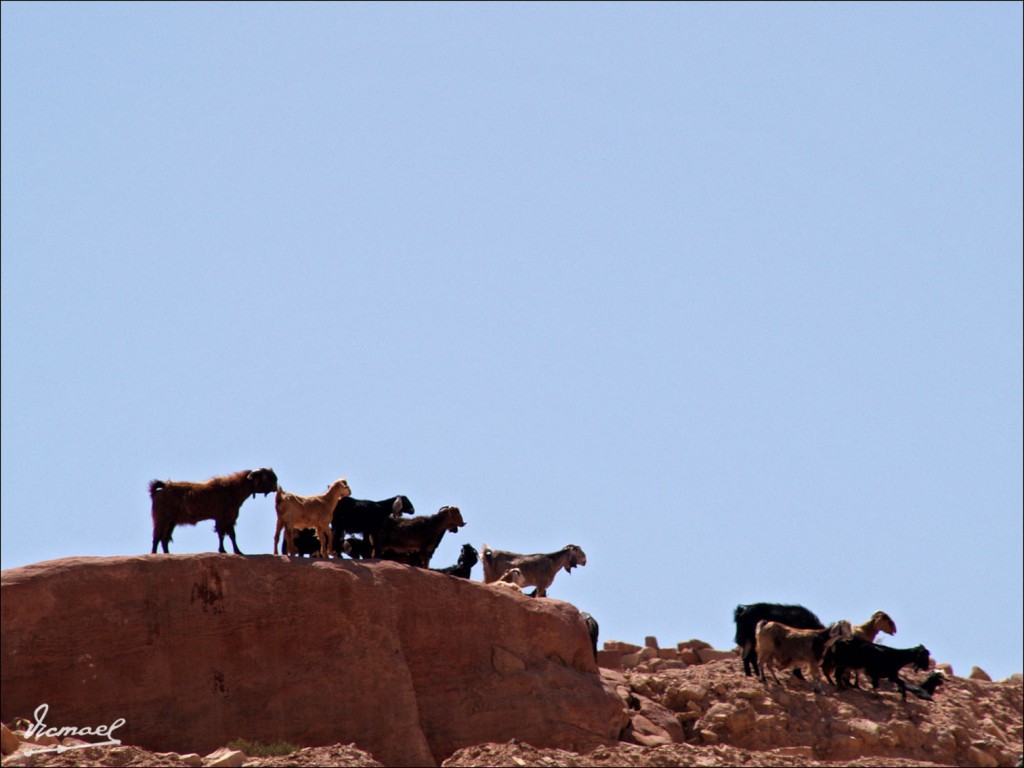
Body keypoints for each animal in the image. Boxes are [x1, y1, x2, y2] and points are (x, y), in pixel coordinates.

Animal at [148, 466, 276, 557]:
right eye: (266, 477)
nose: (275, 487)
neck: (232, 489)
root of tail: (160, 490)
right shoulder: (222, 518)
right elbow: (222, 535)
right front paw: (223, 550)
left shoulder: (229, 519)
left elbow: (232, 535)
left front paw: (238, 551)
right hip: (161, 518)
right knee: (157, 537)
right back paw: (154, 554)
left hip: (171, 522)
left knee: (164, 539)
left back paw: (167, 554)